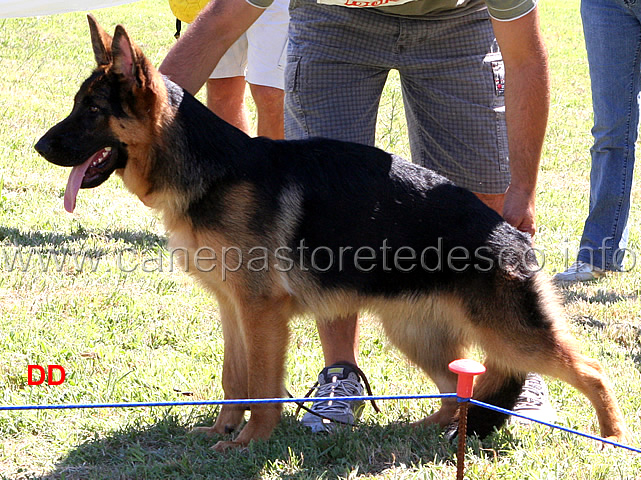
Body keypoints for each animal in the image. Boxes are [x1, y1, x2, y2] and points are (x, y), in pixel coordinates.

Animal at [32, 16, 628, 452]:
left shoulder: (262, 314)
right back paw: (429, 430)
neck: (210, 170)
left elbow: (262, 386)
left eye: (92, 110)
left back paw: (612, 439)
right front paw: (223, 432)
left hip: (510, 335)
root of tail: (513, 234)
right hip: (415, 334)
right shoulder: (233, 310)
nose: (38, 146)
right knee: (462, 391)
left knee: (591, 371)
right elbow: (233, 380)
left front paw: (251, 443)